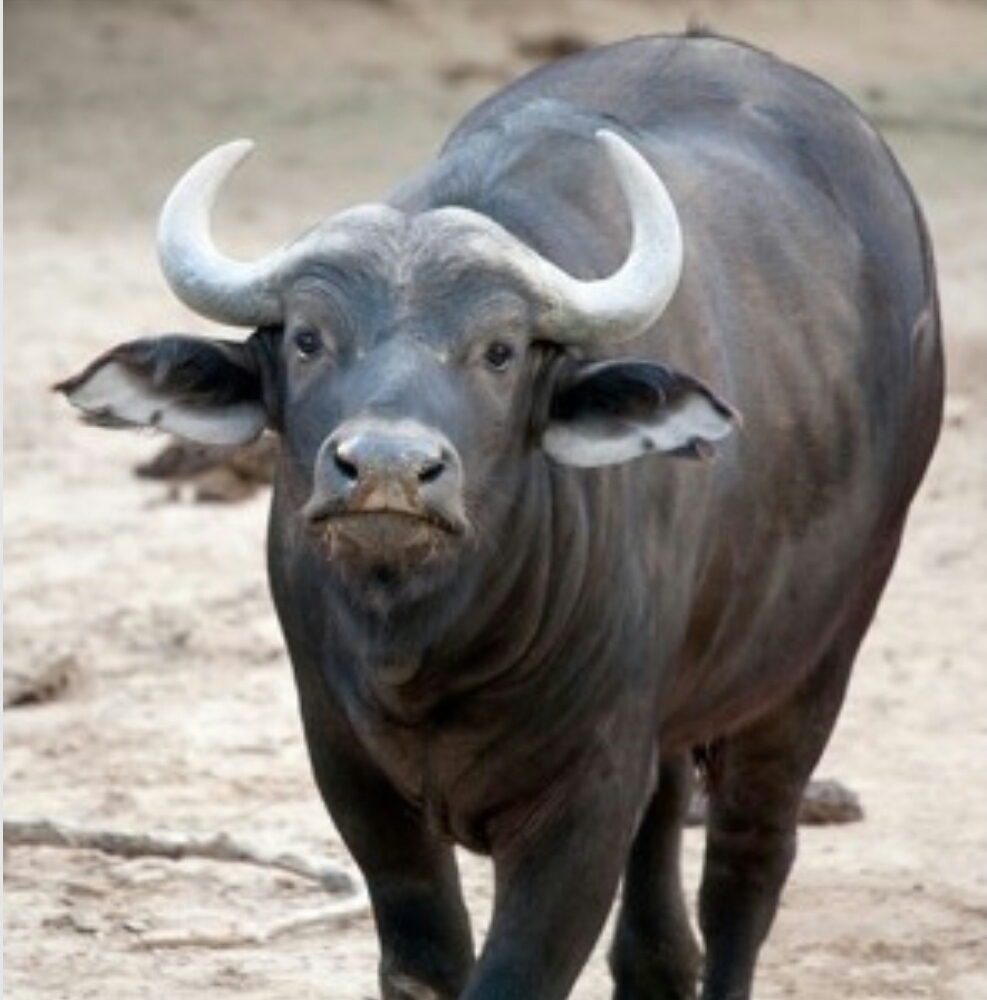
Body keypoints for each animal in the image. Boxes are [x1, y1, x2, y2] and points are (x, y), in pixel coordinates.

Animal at [58, 31, 943, 1000]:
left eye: (500, 350)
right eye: (307, 338)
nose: (388, 469)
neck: (427, 649)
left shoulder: (585, 796)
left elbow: (518, 969)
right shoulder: (350, 770)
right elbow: (423, 964)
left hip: (814, 665)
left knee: (746, 869)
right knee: (668, 838)